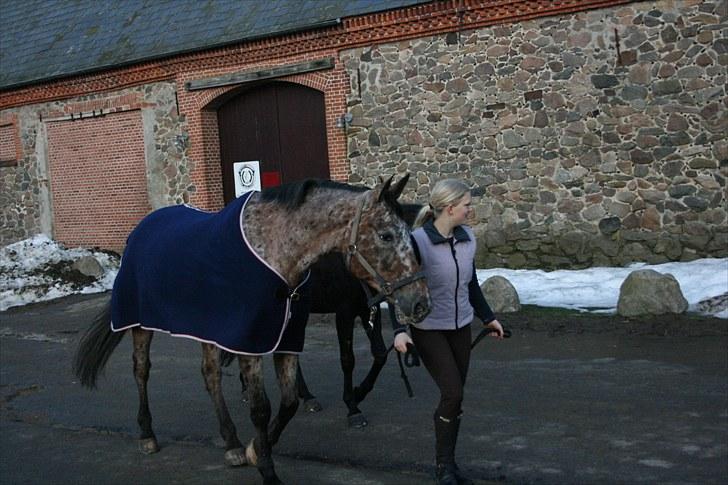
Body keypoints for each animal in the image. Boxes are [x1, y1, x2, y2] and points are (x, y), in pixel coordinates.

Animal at [72, 175, 432, 484]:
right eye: (386, 235)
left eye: (410, 236)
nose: (420, 303)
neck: (274, 250)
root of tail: (142, 228)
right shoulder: (253, 341)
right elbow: (262, 408)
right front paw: (268, 470)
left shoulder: (287, 336)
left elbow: (288, 402)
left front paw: (254, 449)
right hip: (139, 323)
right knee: (142, 370)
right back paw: (147, 434)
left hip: (208, 329)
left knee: (211, 375)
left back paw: (231, 442)